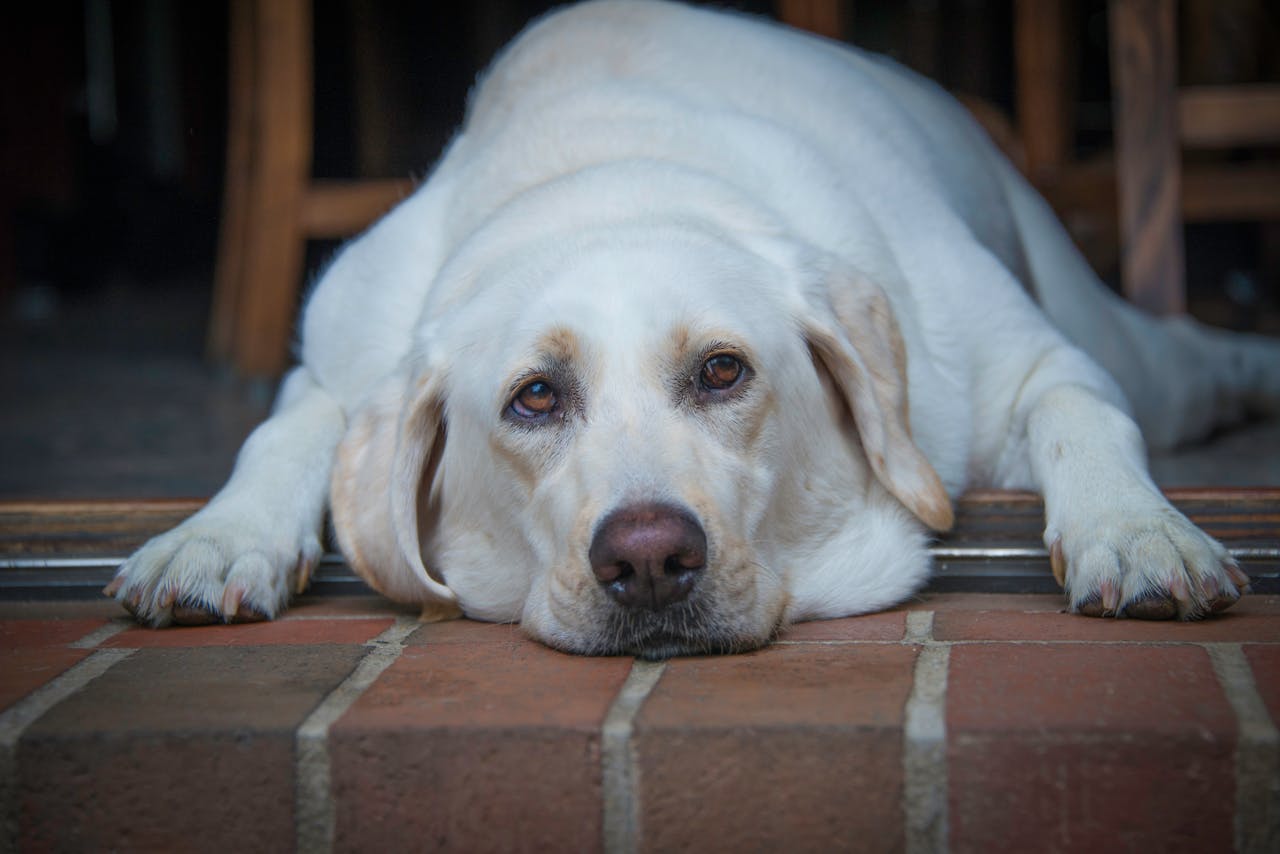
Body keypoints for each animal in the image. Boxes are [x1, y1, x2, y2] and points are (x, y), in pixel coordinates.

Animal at [102, 0, 1280, 660]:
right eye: (534, 396)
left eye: (722, 371)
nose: (649, 557)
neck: (608, 173)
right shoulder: (336, 359)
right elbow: (281, 433)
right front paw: (217, 536)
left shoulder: (1034, 365)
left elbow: (1084, 421)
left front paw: (1138, 532)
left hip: (1125, 337)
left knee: (1180, 362)